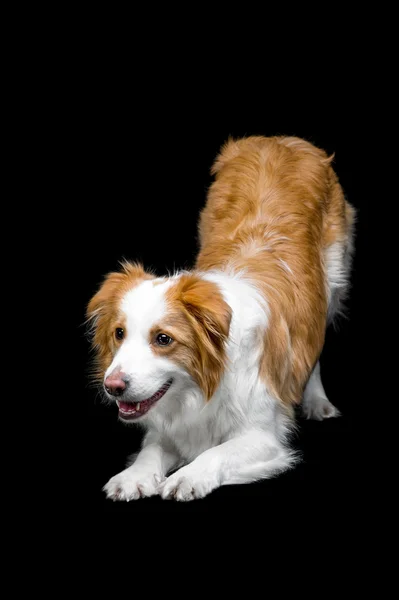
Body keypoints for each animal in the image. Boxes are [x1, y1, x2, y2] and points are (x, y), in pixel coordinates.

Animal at [87, 136, 356, 502]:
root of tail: (278, 139)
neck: (200, 387)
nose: (112, 387)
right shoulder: (169, 426)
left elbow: (216, 452)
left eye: (163, 339)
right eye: (119, 333)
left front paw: (188, 476)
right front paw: (133, 476)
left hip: (332, 280)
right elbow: (151, 450)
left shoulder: (264, 434)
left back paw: (317, 401)